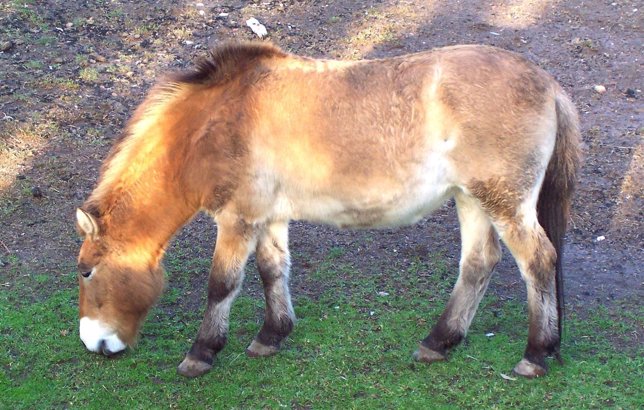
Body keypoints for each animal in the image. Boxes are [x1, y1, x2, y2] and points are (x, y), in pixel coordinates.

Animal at [76, 41, 584, 378]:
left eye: (86, 271)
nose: (92, 342)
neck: (218, 122)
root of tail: (548, 84)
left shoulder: (238, 219)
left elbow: (221, 284)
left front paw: (201, 353)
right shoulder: (268, 216)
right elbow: (271, 271)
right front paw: (271, 336)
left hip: (503, 202)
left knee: (539, 261)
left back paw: (536, 354)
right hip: (471, 198)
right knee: (479, 263)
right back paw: (438, 342)